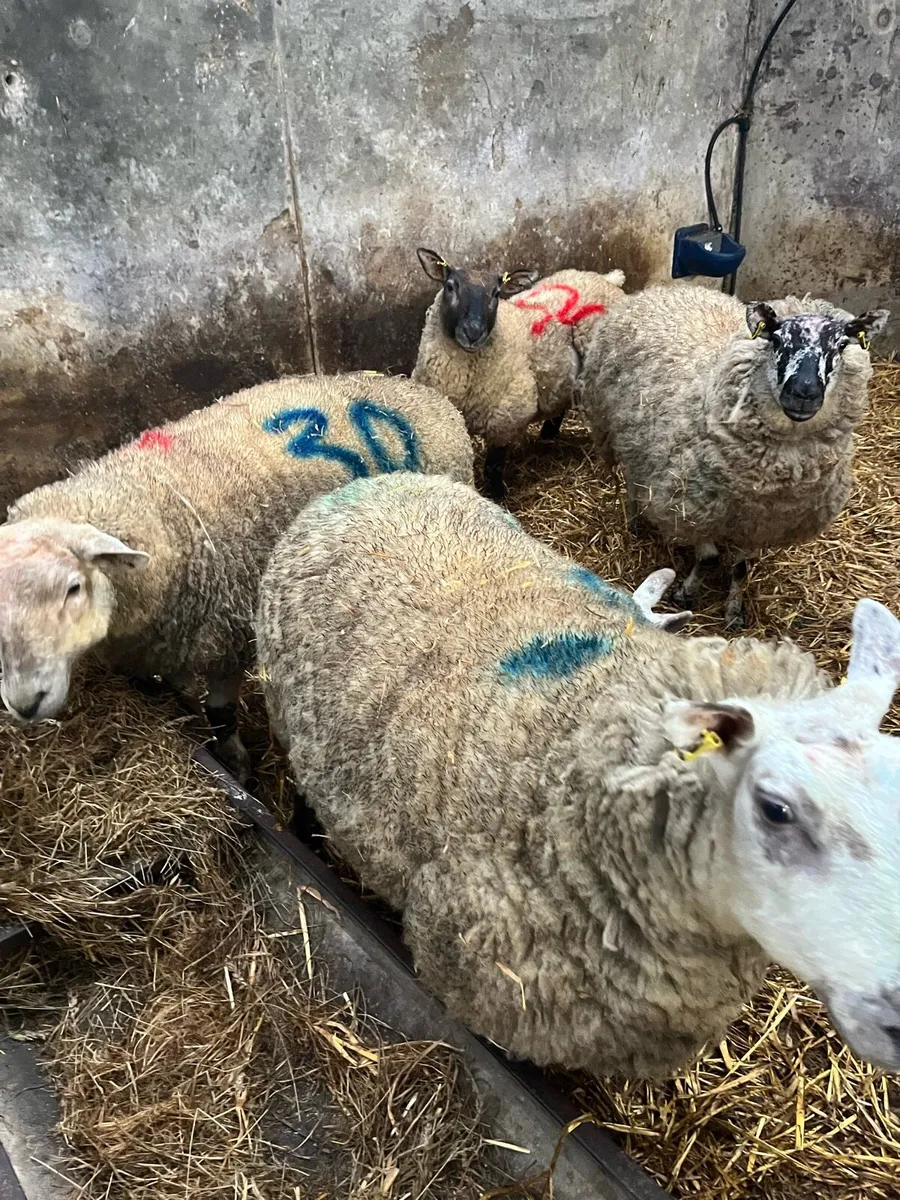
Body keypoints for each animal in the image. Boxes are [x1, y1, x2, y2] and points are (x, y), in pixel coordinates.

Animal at [0, 373, 473, 779]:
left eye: (73, 587)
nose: (25, 703)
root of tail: (420, 390)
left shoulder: (227, 640)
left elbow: (221, 714)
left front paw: (238, 767)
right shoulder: (166, 647)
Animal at [412, 248, 626, 501]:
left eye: (496, 294)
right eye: (450, 286)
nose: (473, 332)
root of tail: (606, 278)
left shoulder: (506, 421)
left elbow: (492, 467)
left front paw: (498, 496)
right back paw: (547, 436)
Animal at [578, 282, 890, 627]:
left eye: (841, 345)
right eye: (777, 340)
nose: (803, 393)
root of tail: (666, 288)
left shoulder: (757, 523)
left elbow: (740, 569)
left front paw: (734, 610)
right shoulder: (696, 506)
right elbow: (710, 559)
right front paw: (685, 593)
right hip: (617, 430)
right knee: (633, 481)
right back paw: (634, 521)